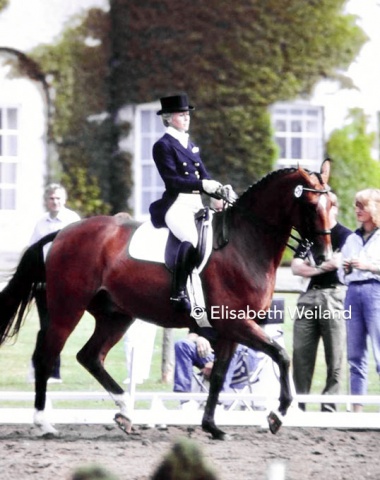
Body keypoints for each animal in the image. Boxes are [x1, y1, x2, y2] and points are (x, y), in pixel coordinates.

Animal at [0, 164, 332, 438]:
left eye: (332, 204)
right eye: (311, 205)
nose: (323, 256)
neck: (244, 243)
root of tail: (61, 233)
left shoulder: (231, 330)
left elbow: (219, 375)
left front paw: (212, 426)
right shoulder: (236, 323)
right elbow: (281, 355)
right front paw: (278, 415)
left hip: (116, 316)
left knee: (90, 356)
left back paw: (126, 412)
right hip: (67, 310)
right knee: (46, 357)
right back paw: (44, 423)